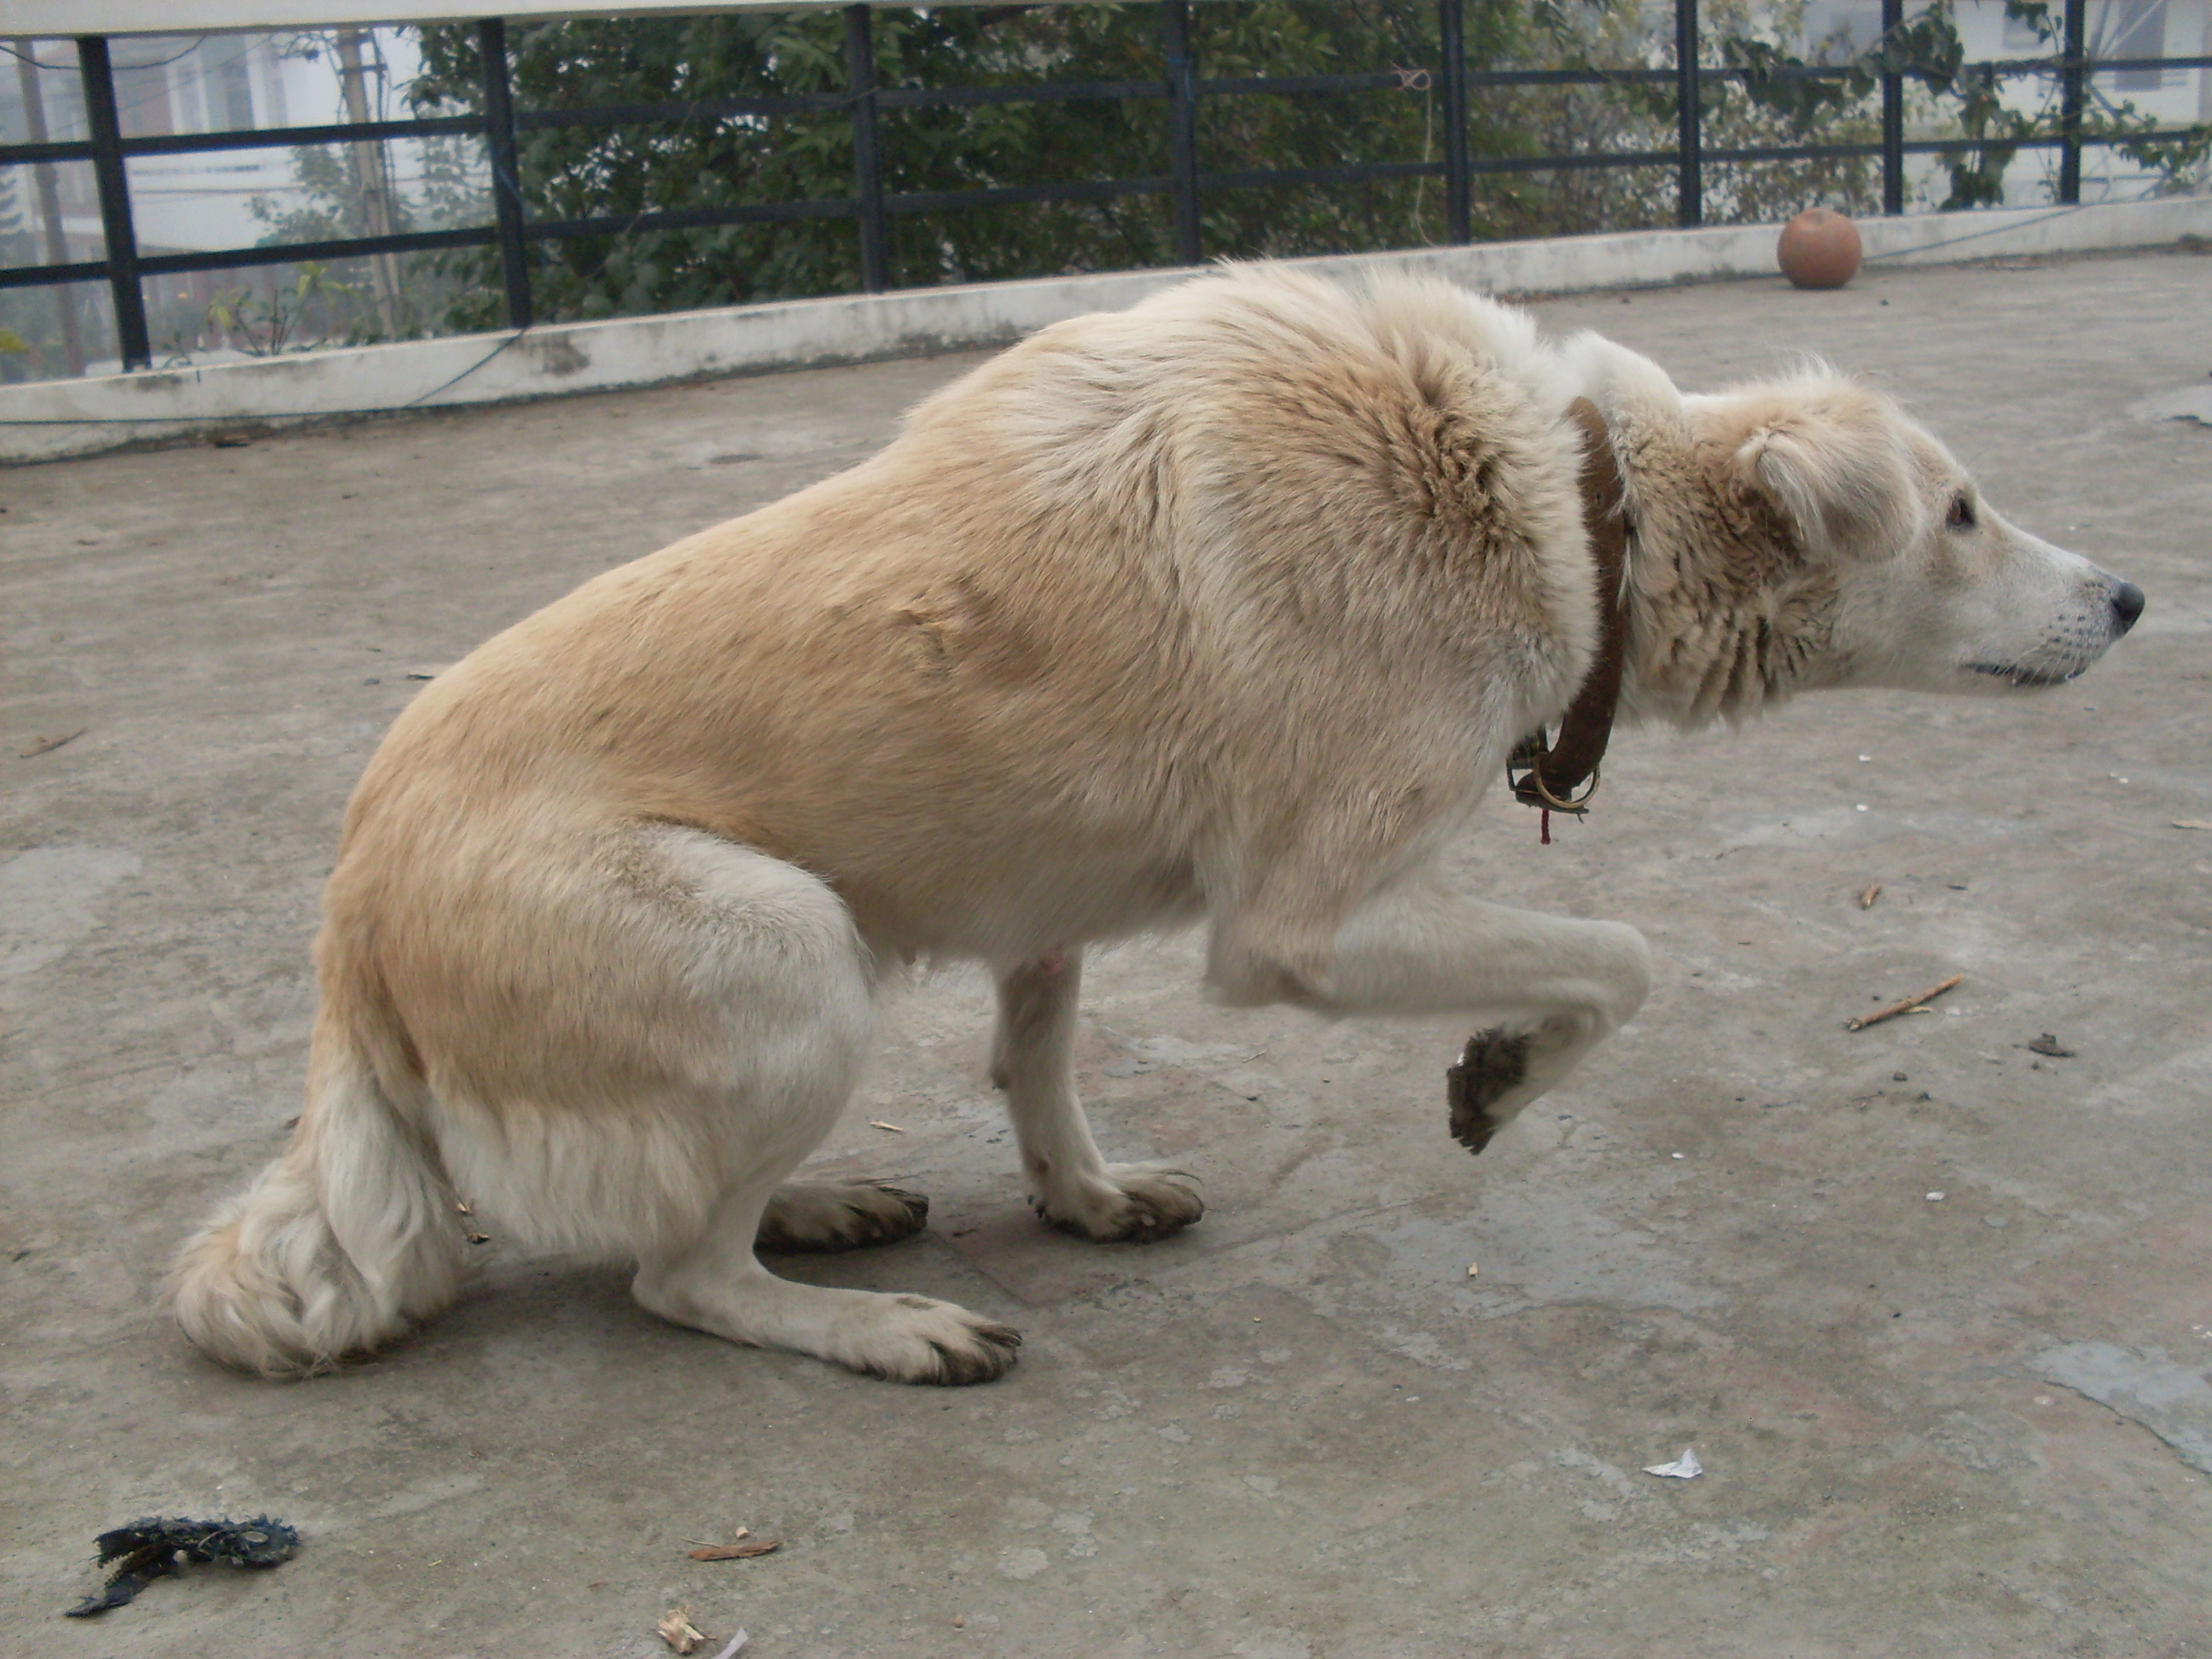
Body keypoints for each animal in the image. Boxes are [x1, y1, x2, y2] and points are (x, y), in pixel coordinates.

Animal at [172, 270, 2141, 1388]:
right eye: (1963, 512)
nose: (2130, 598)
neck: (1567, 504)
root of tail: (345, 924)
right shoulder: (1307, 925)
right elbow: (1622, 955)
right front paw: (1502, 1071)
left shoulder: (1047, 888)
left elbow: (1037, 1058)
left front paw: (1085, 1191)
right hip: (788, 952)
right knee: (670, 1274)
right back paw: (869, 1323)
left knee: (686, 1211)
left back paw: (822, 1204)